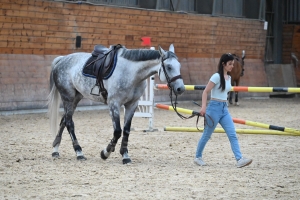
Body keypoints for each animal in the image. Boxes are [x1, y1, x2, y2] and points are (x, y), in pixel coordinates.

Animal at [47, 44, 185, 164]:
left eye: (179, 65)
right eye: (169, 67)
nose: (180, 89)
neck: (131, 72)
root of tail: (62, 60)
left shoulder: (132, 104)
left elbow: (126, 130)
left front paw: (125, 155)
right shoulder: (114, 104)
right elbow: (118, 131)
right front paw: (105, 152)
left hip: (76, 98)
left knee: (64, 121)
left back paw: (55, 150)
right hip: (68, 97)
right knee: (69, 123)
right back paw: (79, 152)